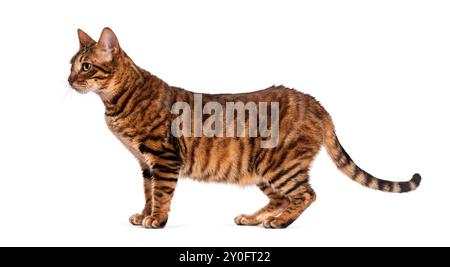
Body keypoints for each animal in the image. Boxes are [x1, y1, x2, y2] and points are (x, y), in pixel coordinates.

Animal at [67, 27, 422, 230]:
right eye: (70, 65)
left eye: (86, 66)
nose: (68, 80)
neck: (117, 101)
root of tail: (316, 103)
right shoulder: (145, 163)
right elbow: (148, 193)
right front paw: (144, 214)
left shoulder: (163, 159)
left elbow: (162, 194)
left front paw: (157, 220)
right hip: (261, 168)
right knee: (282, 199)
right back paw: (254, 218)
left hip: (280, 164)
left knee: (306, 195)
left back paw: (279, 224)